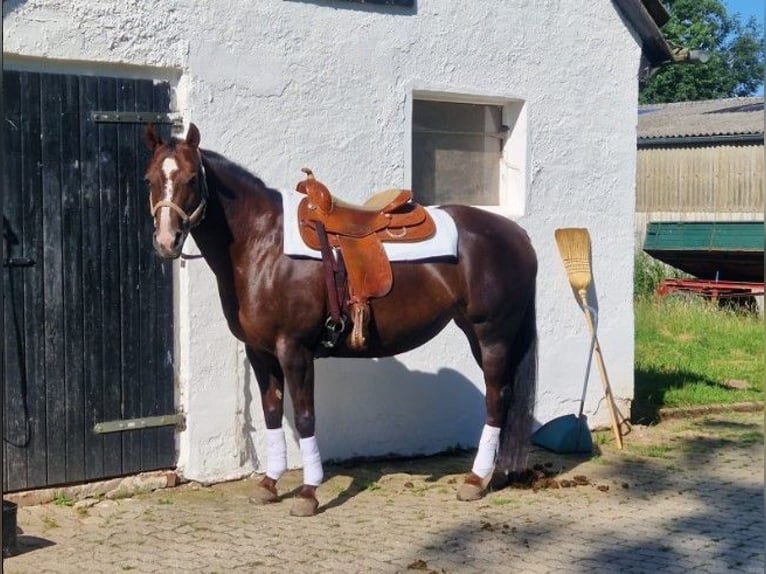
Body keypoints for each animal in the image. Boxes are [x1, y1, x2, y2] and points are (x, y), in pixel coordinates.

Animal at [144, 124, 540, 520]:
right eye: (150, 178)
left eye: (191, 178)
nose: (166, 241)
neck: (263, 244)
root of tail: (518, 235)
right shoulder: (260, 352)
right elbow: (272, 413)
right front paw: (269, 485)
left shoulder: (295, 349)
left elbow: (305, 416)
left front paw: (308, 492)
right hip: (477, 333)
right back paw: (497, 474)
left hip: (492, 335)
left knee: (497, 397)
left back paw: (475, 479)